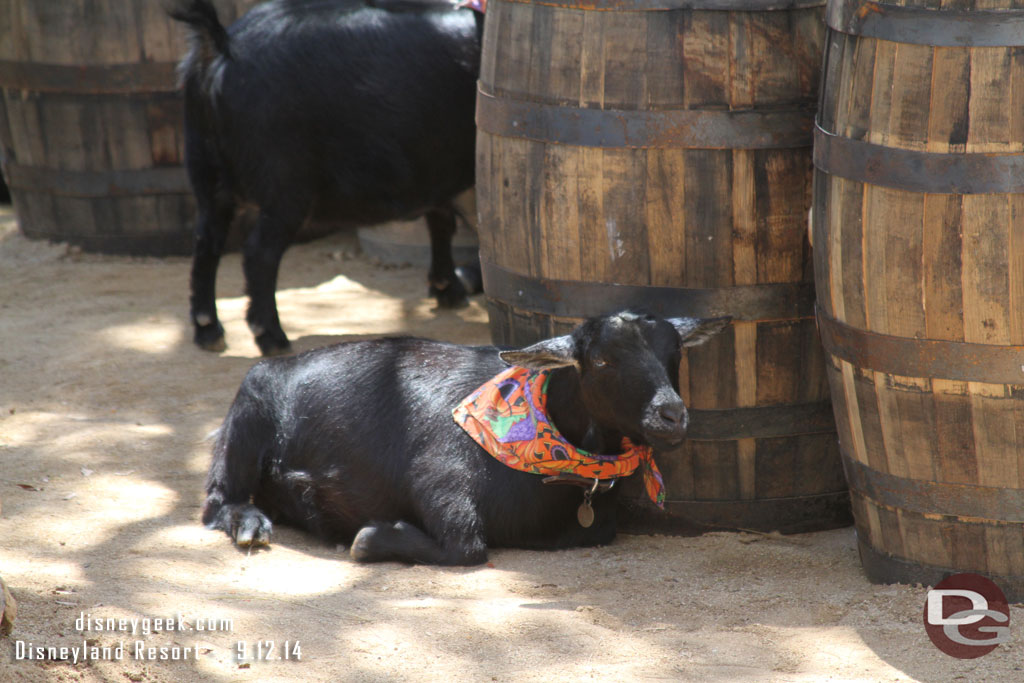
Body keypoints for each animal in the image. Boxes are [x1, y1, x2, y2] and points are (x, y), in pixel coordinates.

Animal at [203, 311, 729, 565]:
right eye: (601, 360)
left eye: (676, 353)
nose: (671, 416)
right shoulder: (438, 477)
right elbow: (467, 546)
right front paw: (369, 537)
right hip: (247, 417)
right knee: (217, 502)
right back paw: (251, 526)